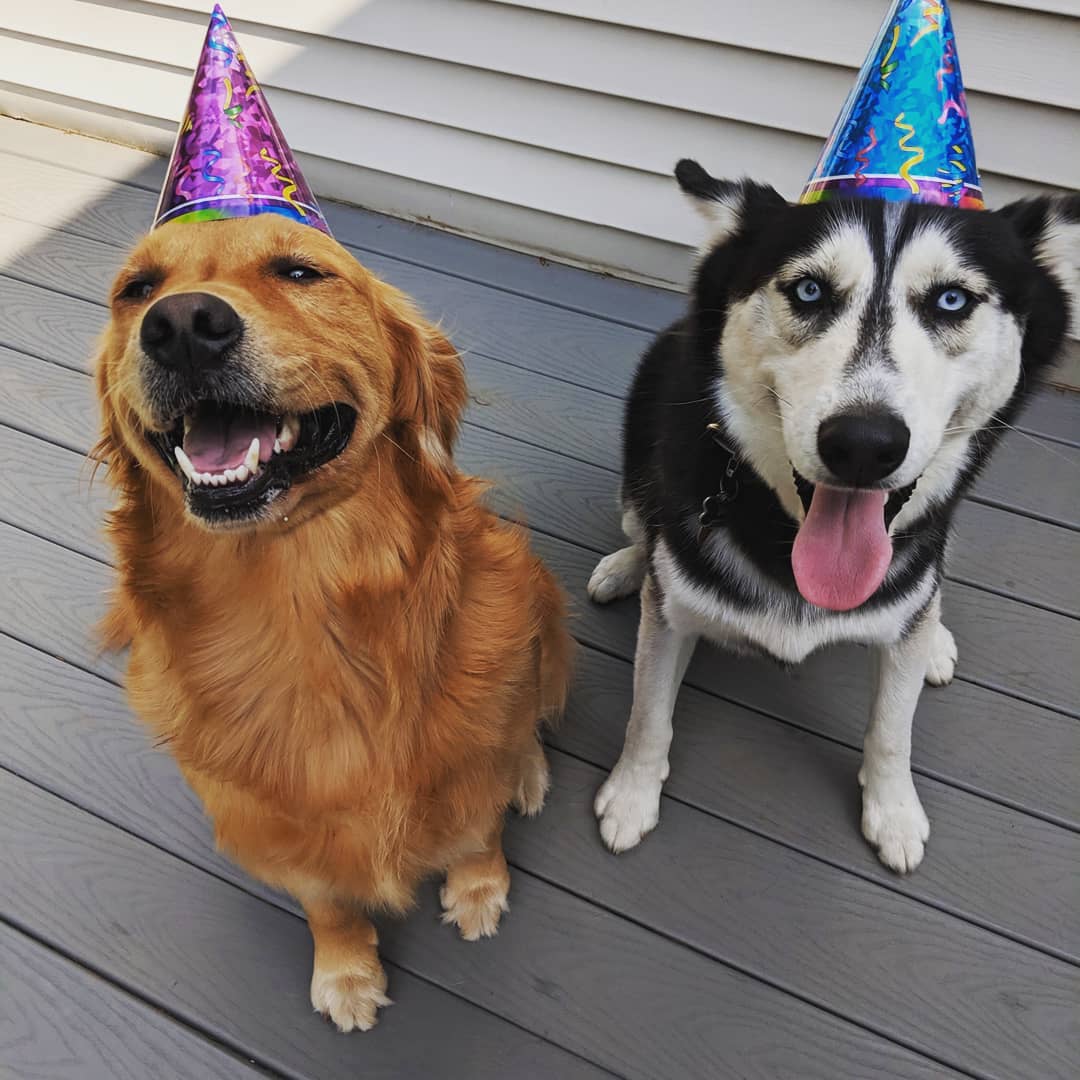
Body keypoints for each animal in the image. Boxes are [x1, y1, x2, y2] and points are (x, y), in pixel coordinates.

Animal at [591, 157, 1080, 868]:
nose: (863, 445)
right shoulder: (672, 616)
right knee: (641, 528)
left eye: (951, 300)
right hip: (635, 475)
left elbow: (892, 727)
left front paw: (894, 812)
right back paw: (627, 565)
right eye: (809, 291)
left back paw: (935, 636)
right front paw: (631, 796)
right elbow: (647, 712)